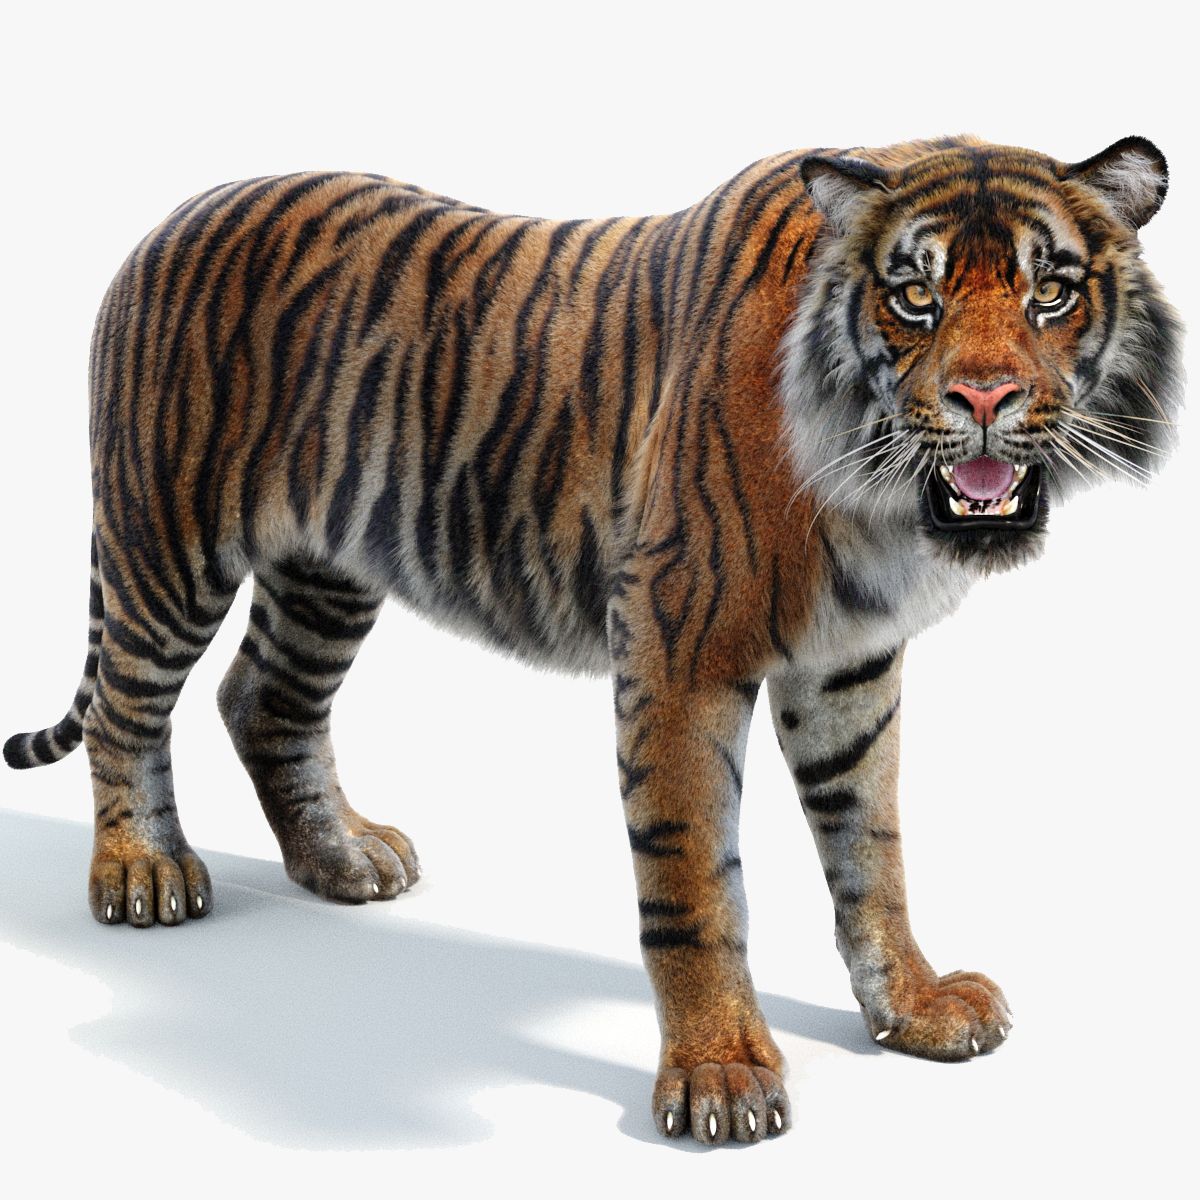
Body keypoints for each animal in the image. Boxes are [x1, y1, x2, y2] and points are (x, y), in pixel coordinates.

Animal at [4, 134, 1182, 1145]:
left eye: (1050, 290)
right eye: (914, 296)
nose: (985, 397)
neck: (878, 495)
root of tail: (174, 215)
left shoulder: (847, 663)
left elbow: (872, 844)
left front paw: (916, 1007)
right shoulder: (678, 646)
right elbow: (695, 881)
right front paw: (720, 1079)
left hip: (325, 569)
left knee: (262, 698)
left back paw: (342, 858)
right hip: (167, 537)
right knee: (125, 707)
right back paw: (145, 873)